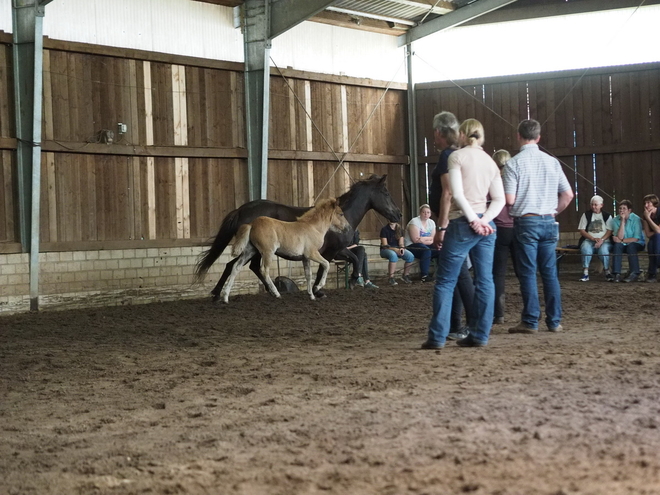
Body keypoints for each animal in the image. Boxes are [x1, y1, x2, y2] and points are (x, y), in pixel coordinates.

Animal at [219, 198, 348, 302]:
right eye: (341, 214)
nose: (347, 228)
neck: (313, 227)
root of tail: (252, 224)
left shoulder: (305, 258)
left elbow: (308, 275)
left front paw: (311, 295)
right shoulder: (312, 253)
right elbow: (326, 264)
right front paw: (318, 287)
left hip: (250, 251)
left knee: (236, 267)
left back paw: (225, 297)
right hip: (267, 252)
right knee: (263, 270)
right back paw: (276, 293)